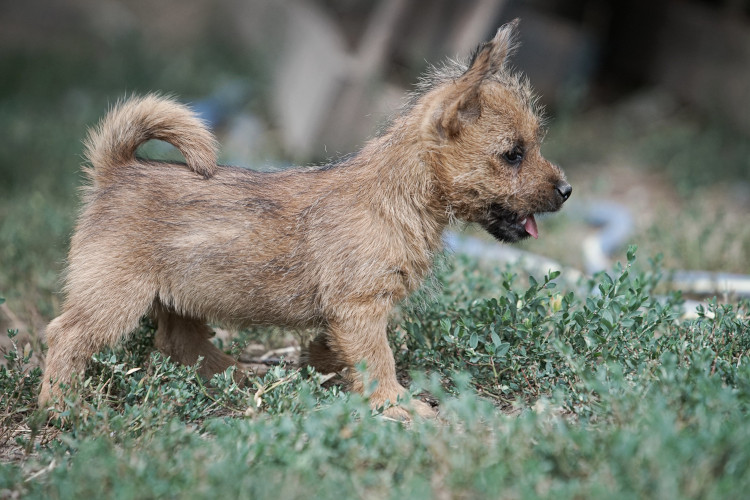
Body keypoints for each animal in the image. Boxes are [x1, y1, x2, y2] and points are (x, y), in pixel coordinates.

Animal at [38, 20, 572, 418]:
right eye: (513, 154)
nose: (567, 191)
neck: (397, 198)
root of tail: (116, 169)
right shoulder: (361, 308)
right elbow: (379, 358)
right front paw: (396, 404)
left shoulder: (349, 313)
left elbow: (342, 351)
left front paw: (326, 370)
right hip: (114, 297)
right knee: (66, 336)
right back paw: (62, 409)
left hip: (178, 294)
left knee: (180, 342)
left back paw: (237, 375)